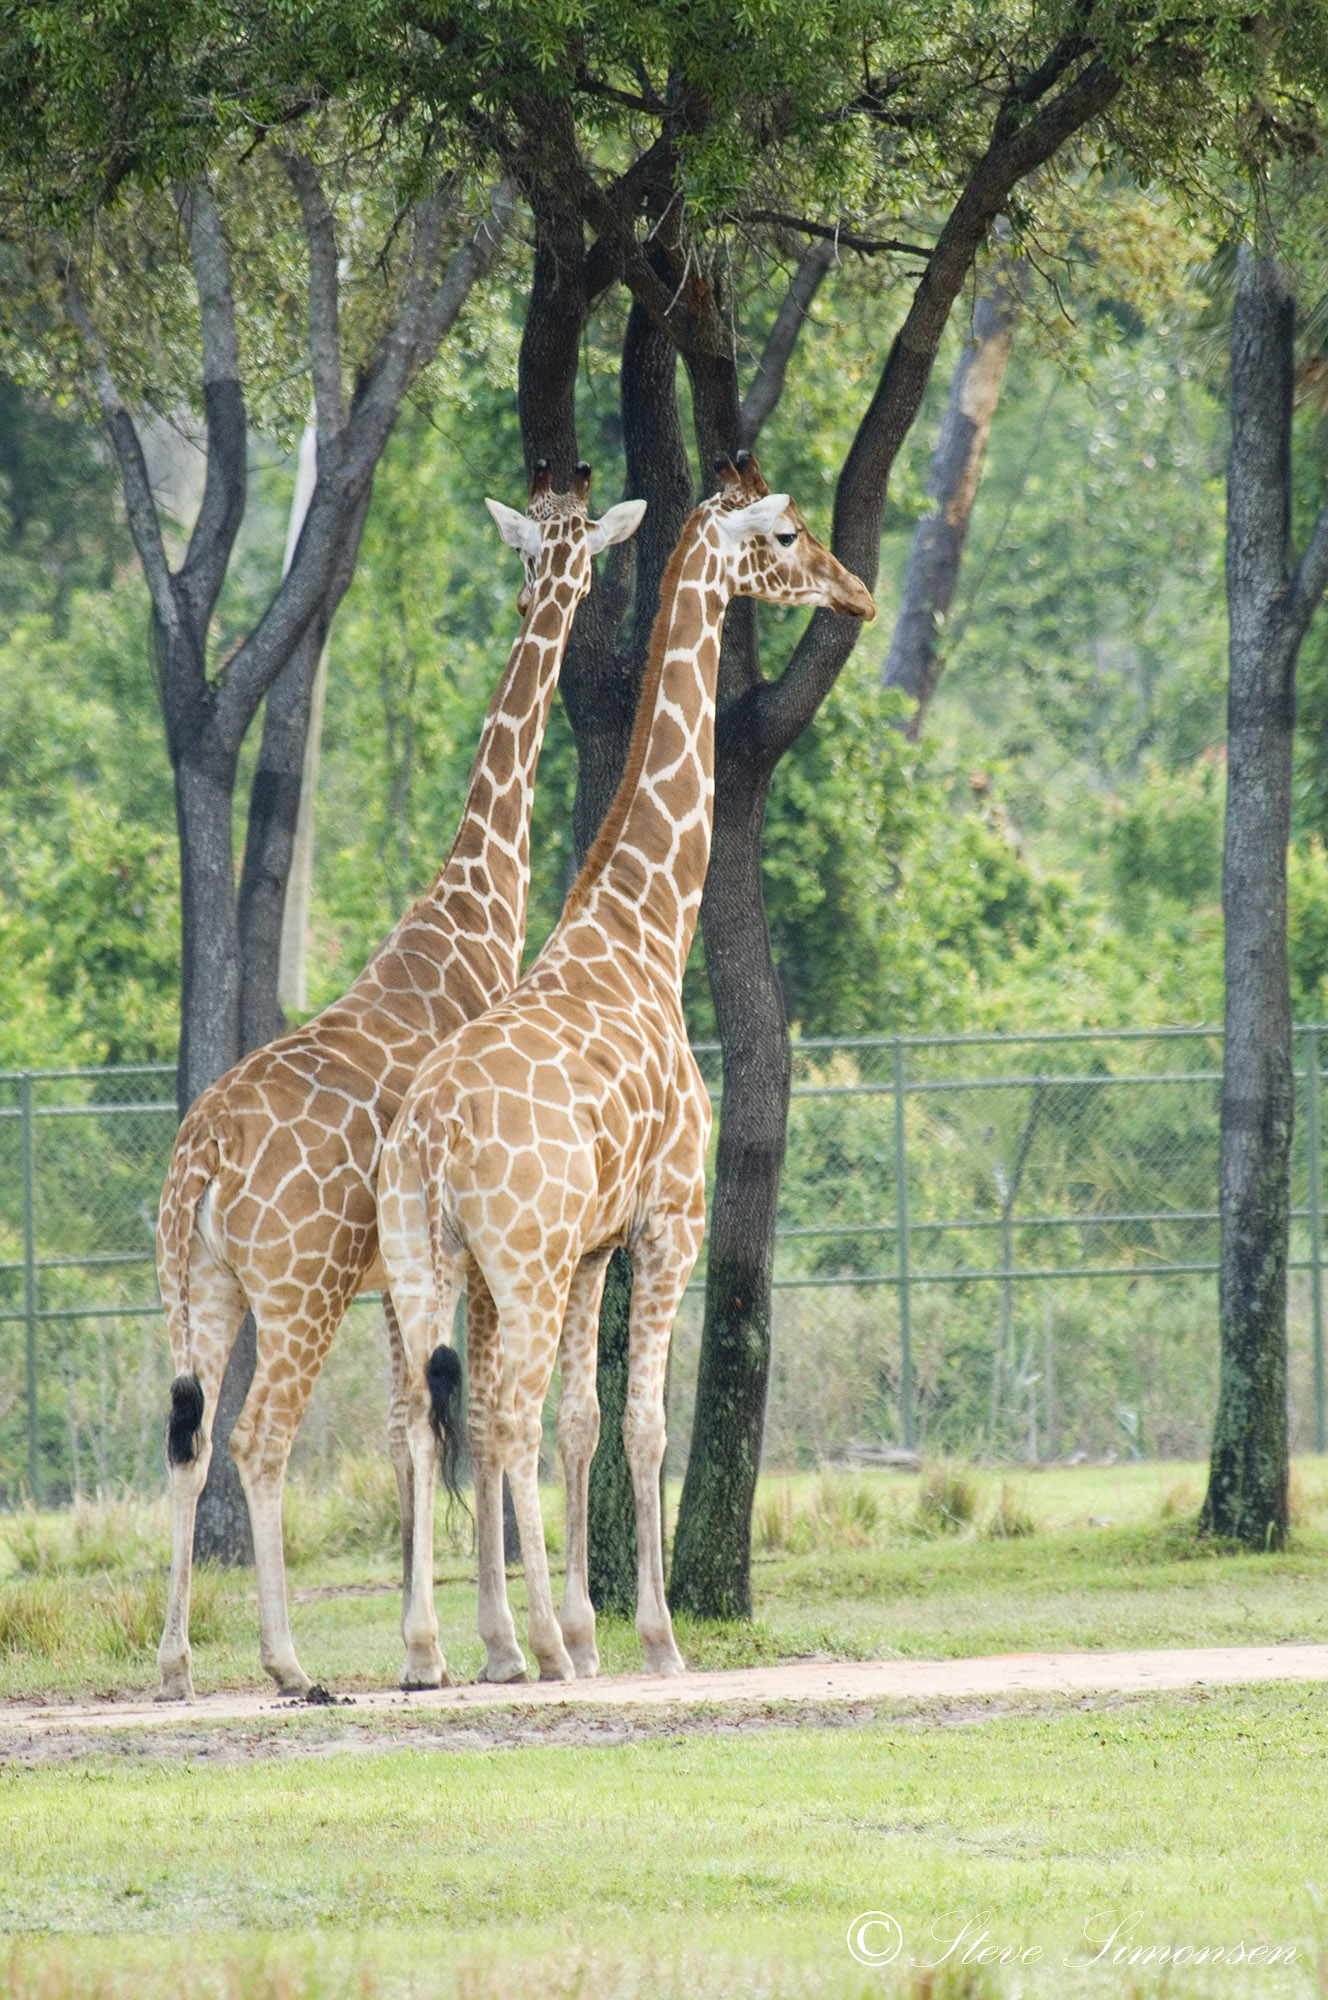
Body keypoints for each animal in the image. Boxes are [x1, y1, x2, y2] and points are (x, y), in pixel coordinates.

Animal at [153, 460, 644, 1696]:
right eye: (575, 551)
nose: (566, 587)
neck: (469, 910)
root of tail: (201, 1162)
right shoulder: (449, 1259)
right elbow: (454, 1419)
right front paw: (482, 1644)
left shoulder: (402, 1271)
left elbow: (405, 1424)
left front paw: (446, 1640)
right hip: (299, 1284)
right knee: (257, 1439)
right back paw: (287, 1664)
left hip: (196, 1284)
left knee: (188, 1436)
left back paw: (177, 1662)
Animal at [378, 446, 872, 1680]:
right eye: (785, 533)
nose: (856, 592)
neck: (647, 927)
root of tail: (430, 1134)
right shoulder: (666, 1220)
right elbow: (642, 1424)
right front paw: (647, 1636)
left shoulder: (598, 1241)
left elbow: (582, 1423)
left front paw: (592, 1625)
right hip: (517, 1258)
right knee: (494, 1414)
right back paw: (527, 1649)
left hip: (427, 1257)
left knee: (430, 1419)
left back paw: (434, 1646)